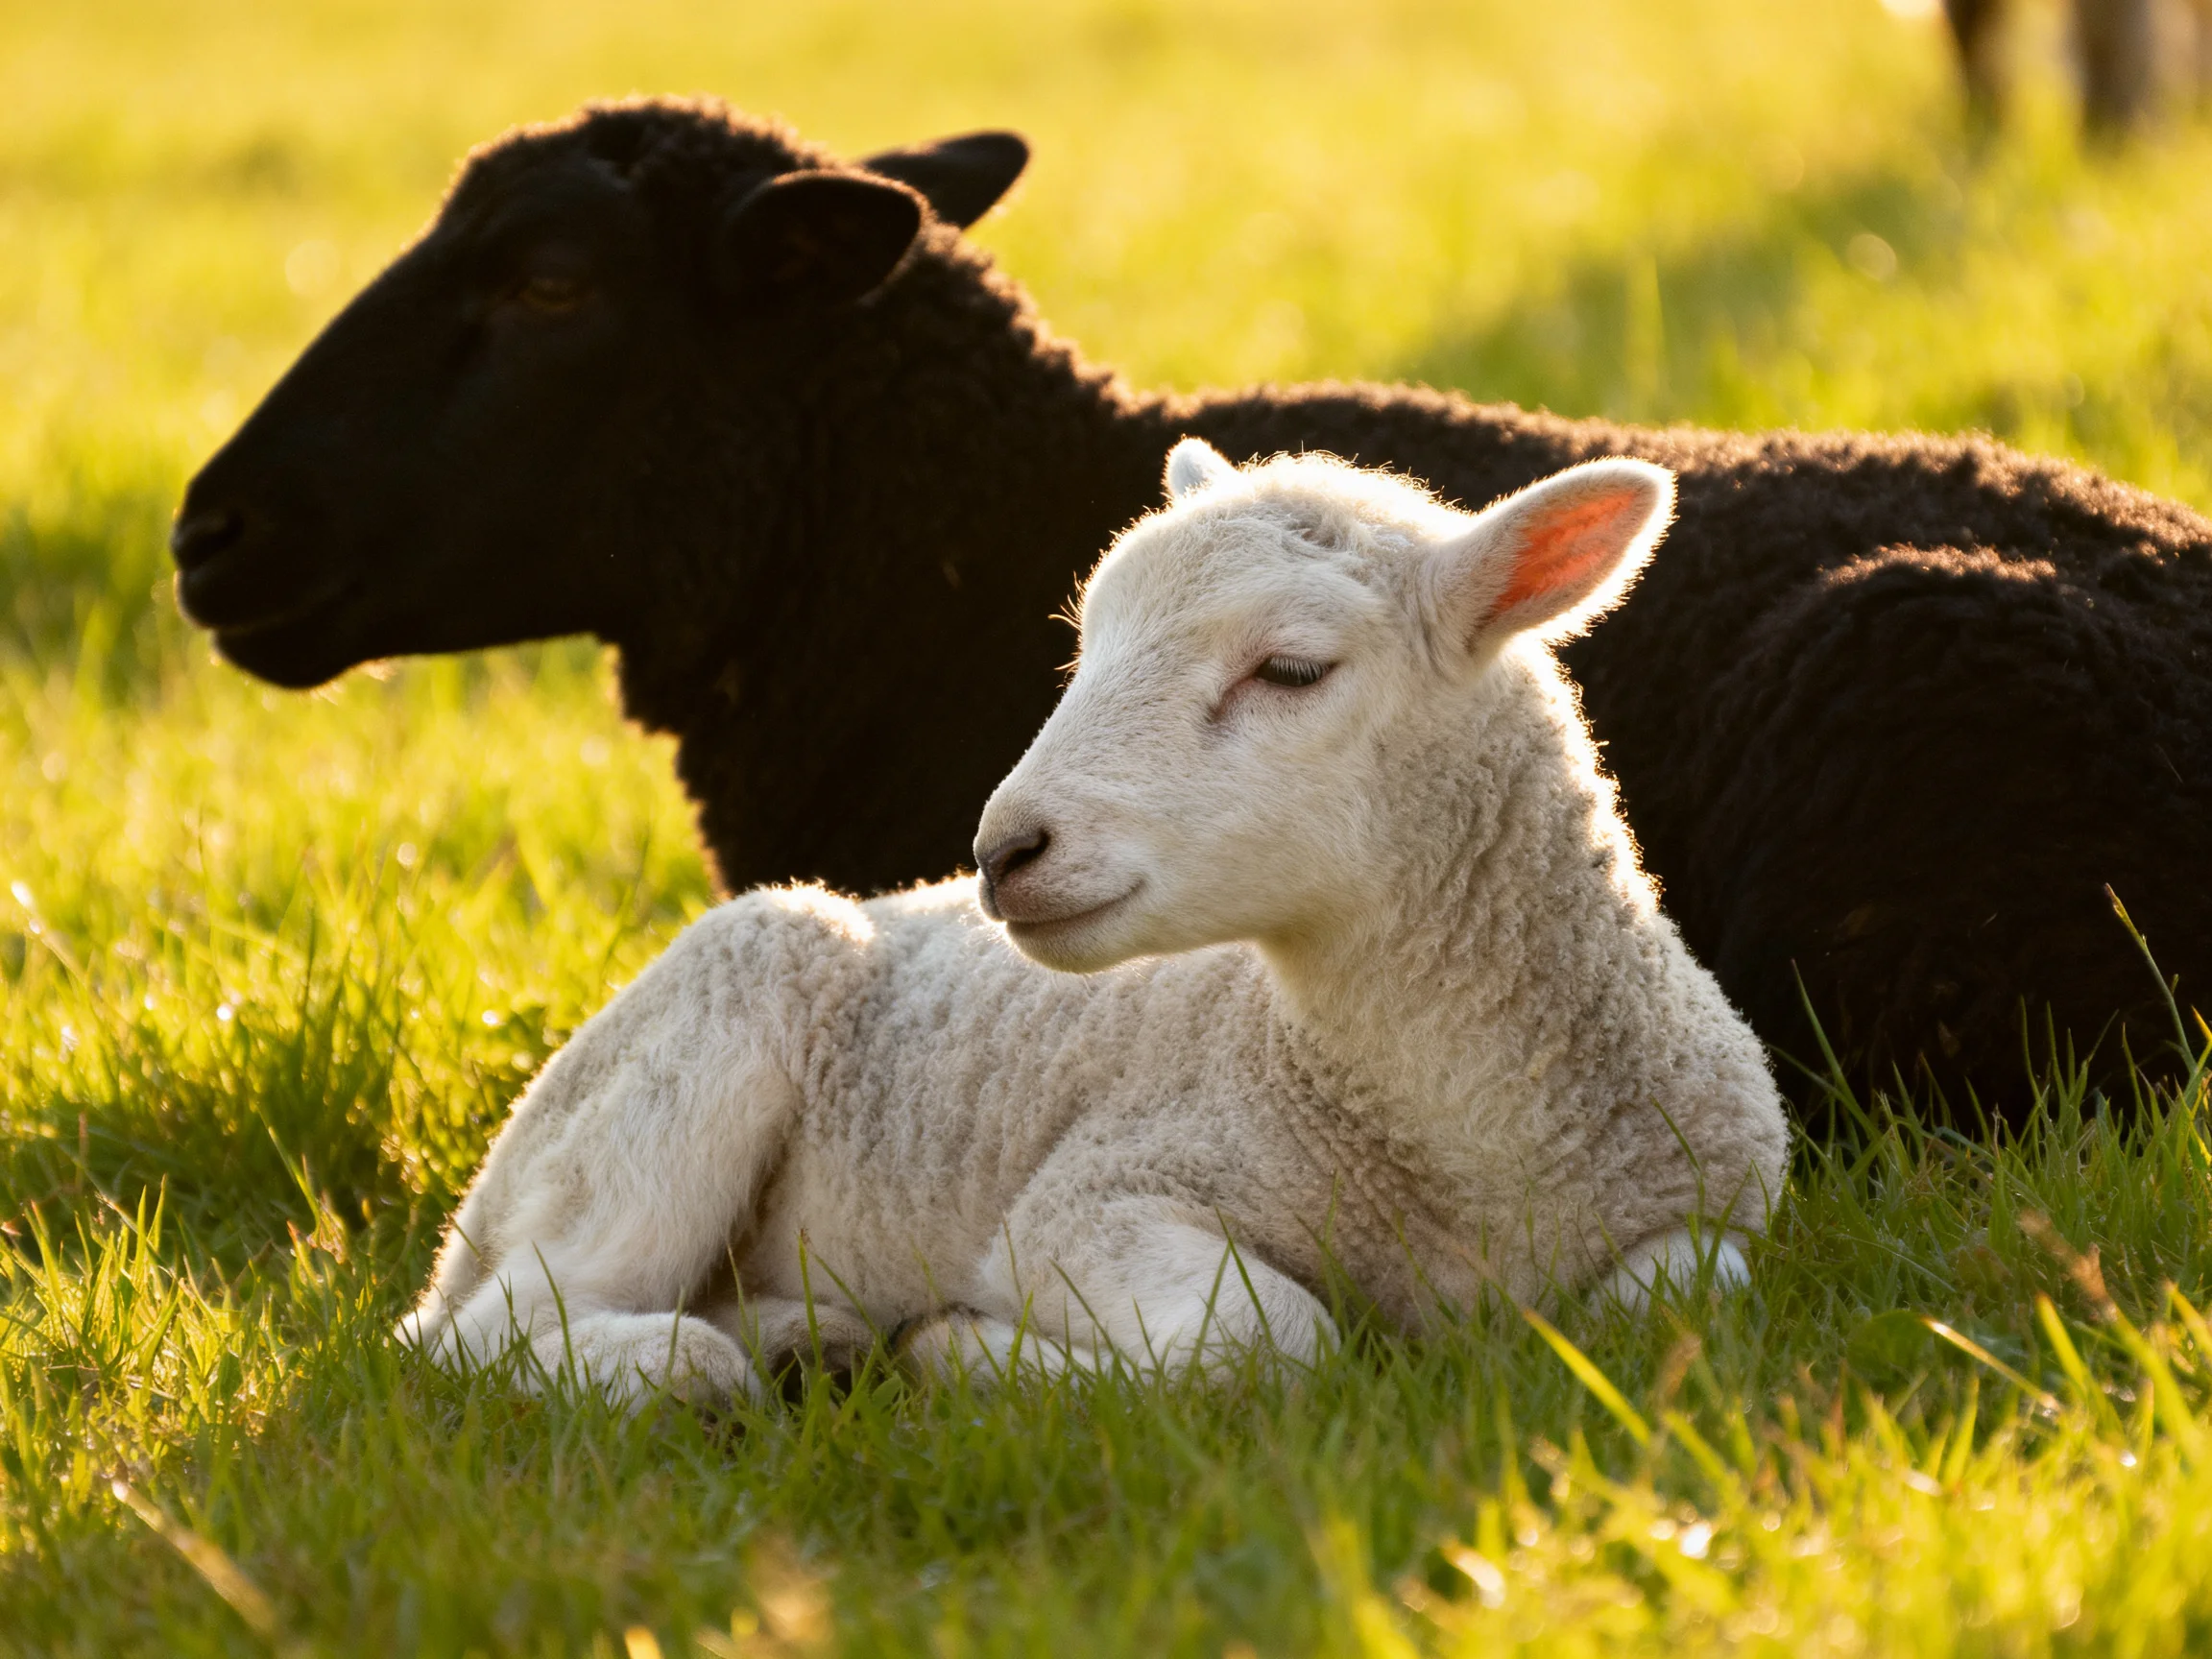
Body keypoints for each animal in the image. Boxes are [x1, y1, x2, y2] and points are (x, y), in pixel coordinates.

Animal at [396, 445, 1788, 1402]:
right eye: (1089, 642)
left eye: (1292, 669)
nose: (1004, 851)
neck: (1471, 1153)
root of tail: (475, 1205)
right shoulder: (1091, 1200)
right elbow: (1270, 1341)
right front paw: (962, 1352)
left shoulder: (1717, 1211)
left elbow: (1682, 1298)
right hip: (686, 1056)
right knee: (480, 1332)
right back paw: (691, 1371)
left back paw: (806, 1341)